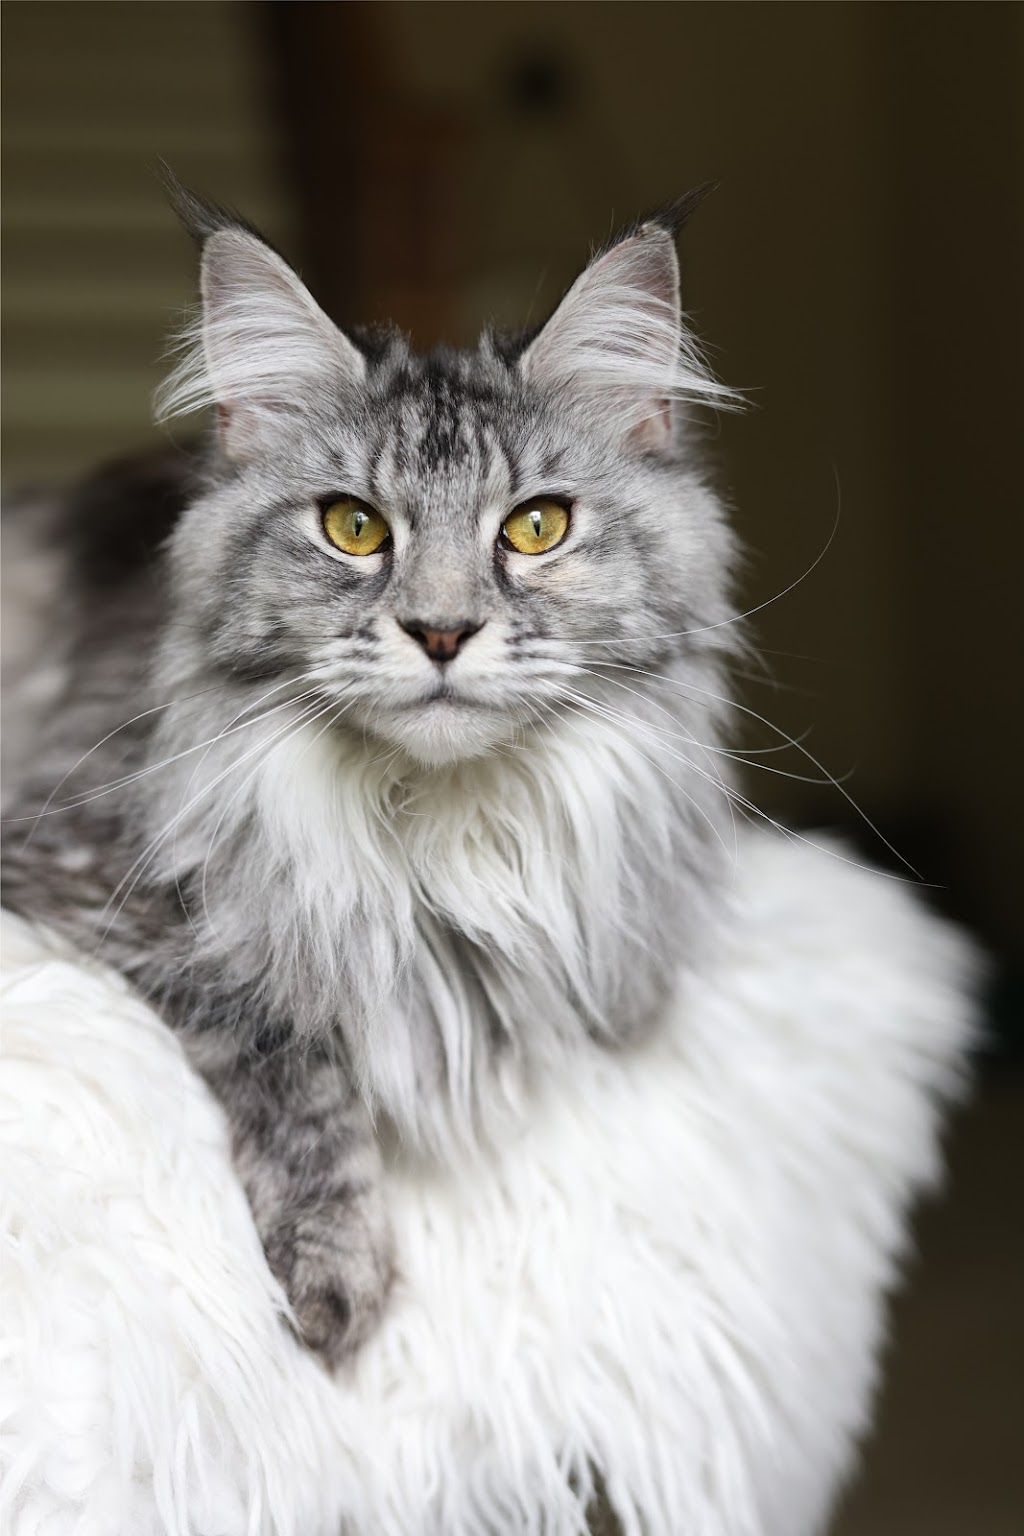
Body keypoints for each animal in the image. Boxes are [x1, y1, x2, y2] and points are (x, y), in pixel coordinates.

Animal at [4, 182, 749, 1370]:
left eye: (537, 526)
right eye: (353, 527)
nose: (440, 632)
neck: (439, 833)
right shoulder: (74, 866)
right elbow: (284, 1034)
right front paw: (335, 1273)